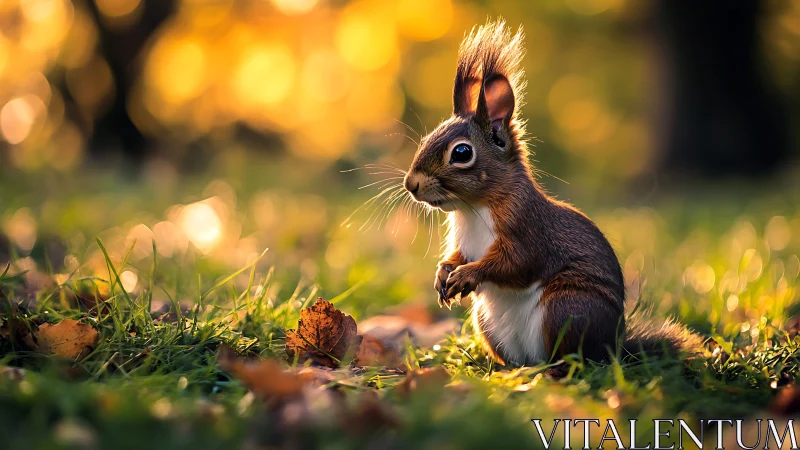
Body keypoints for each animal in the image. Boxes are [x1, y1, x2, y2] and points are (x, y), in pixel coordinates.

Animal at [402, 19, 700, 366]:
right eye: (426, 139)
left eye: (461, 153)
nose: (411, 184)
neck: (473, 208)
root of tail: (614, 347)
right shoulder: (463, 241)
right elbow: (457, 256)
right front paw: (443, 273)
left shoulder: (528, 229)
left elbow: (515, 263)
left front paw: (467, 274)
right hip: (488, 323)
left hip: (566, 308)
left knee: (571, 359)